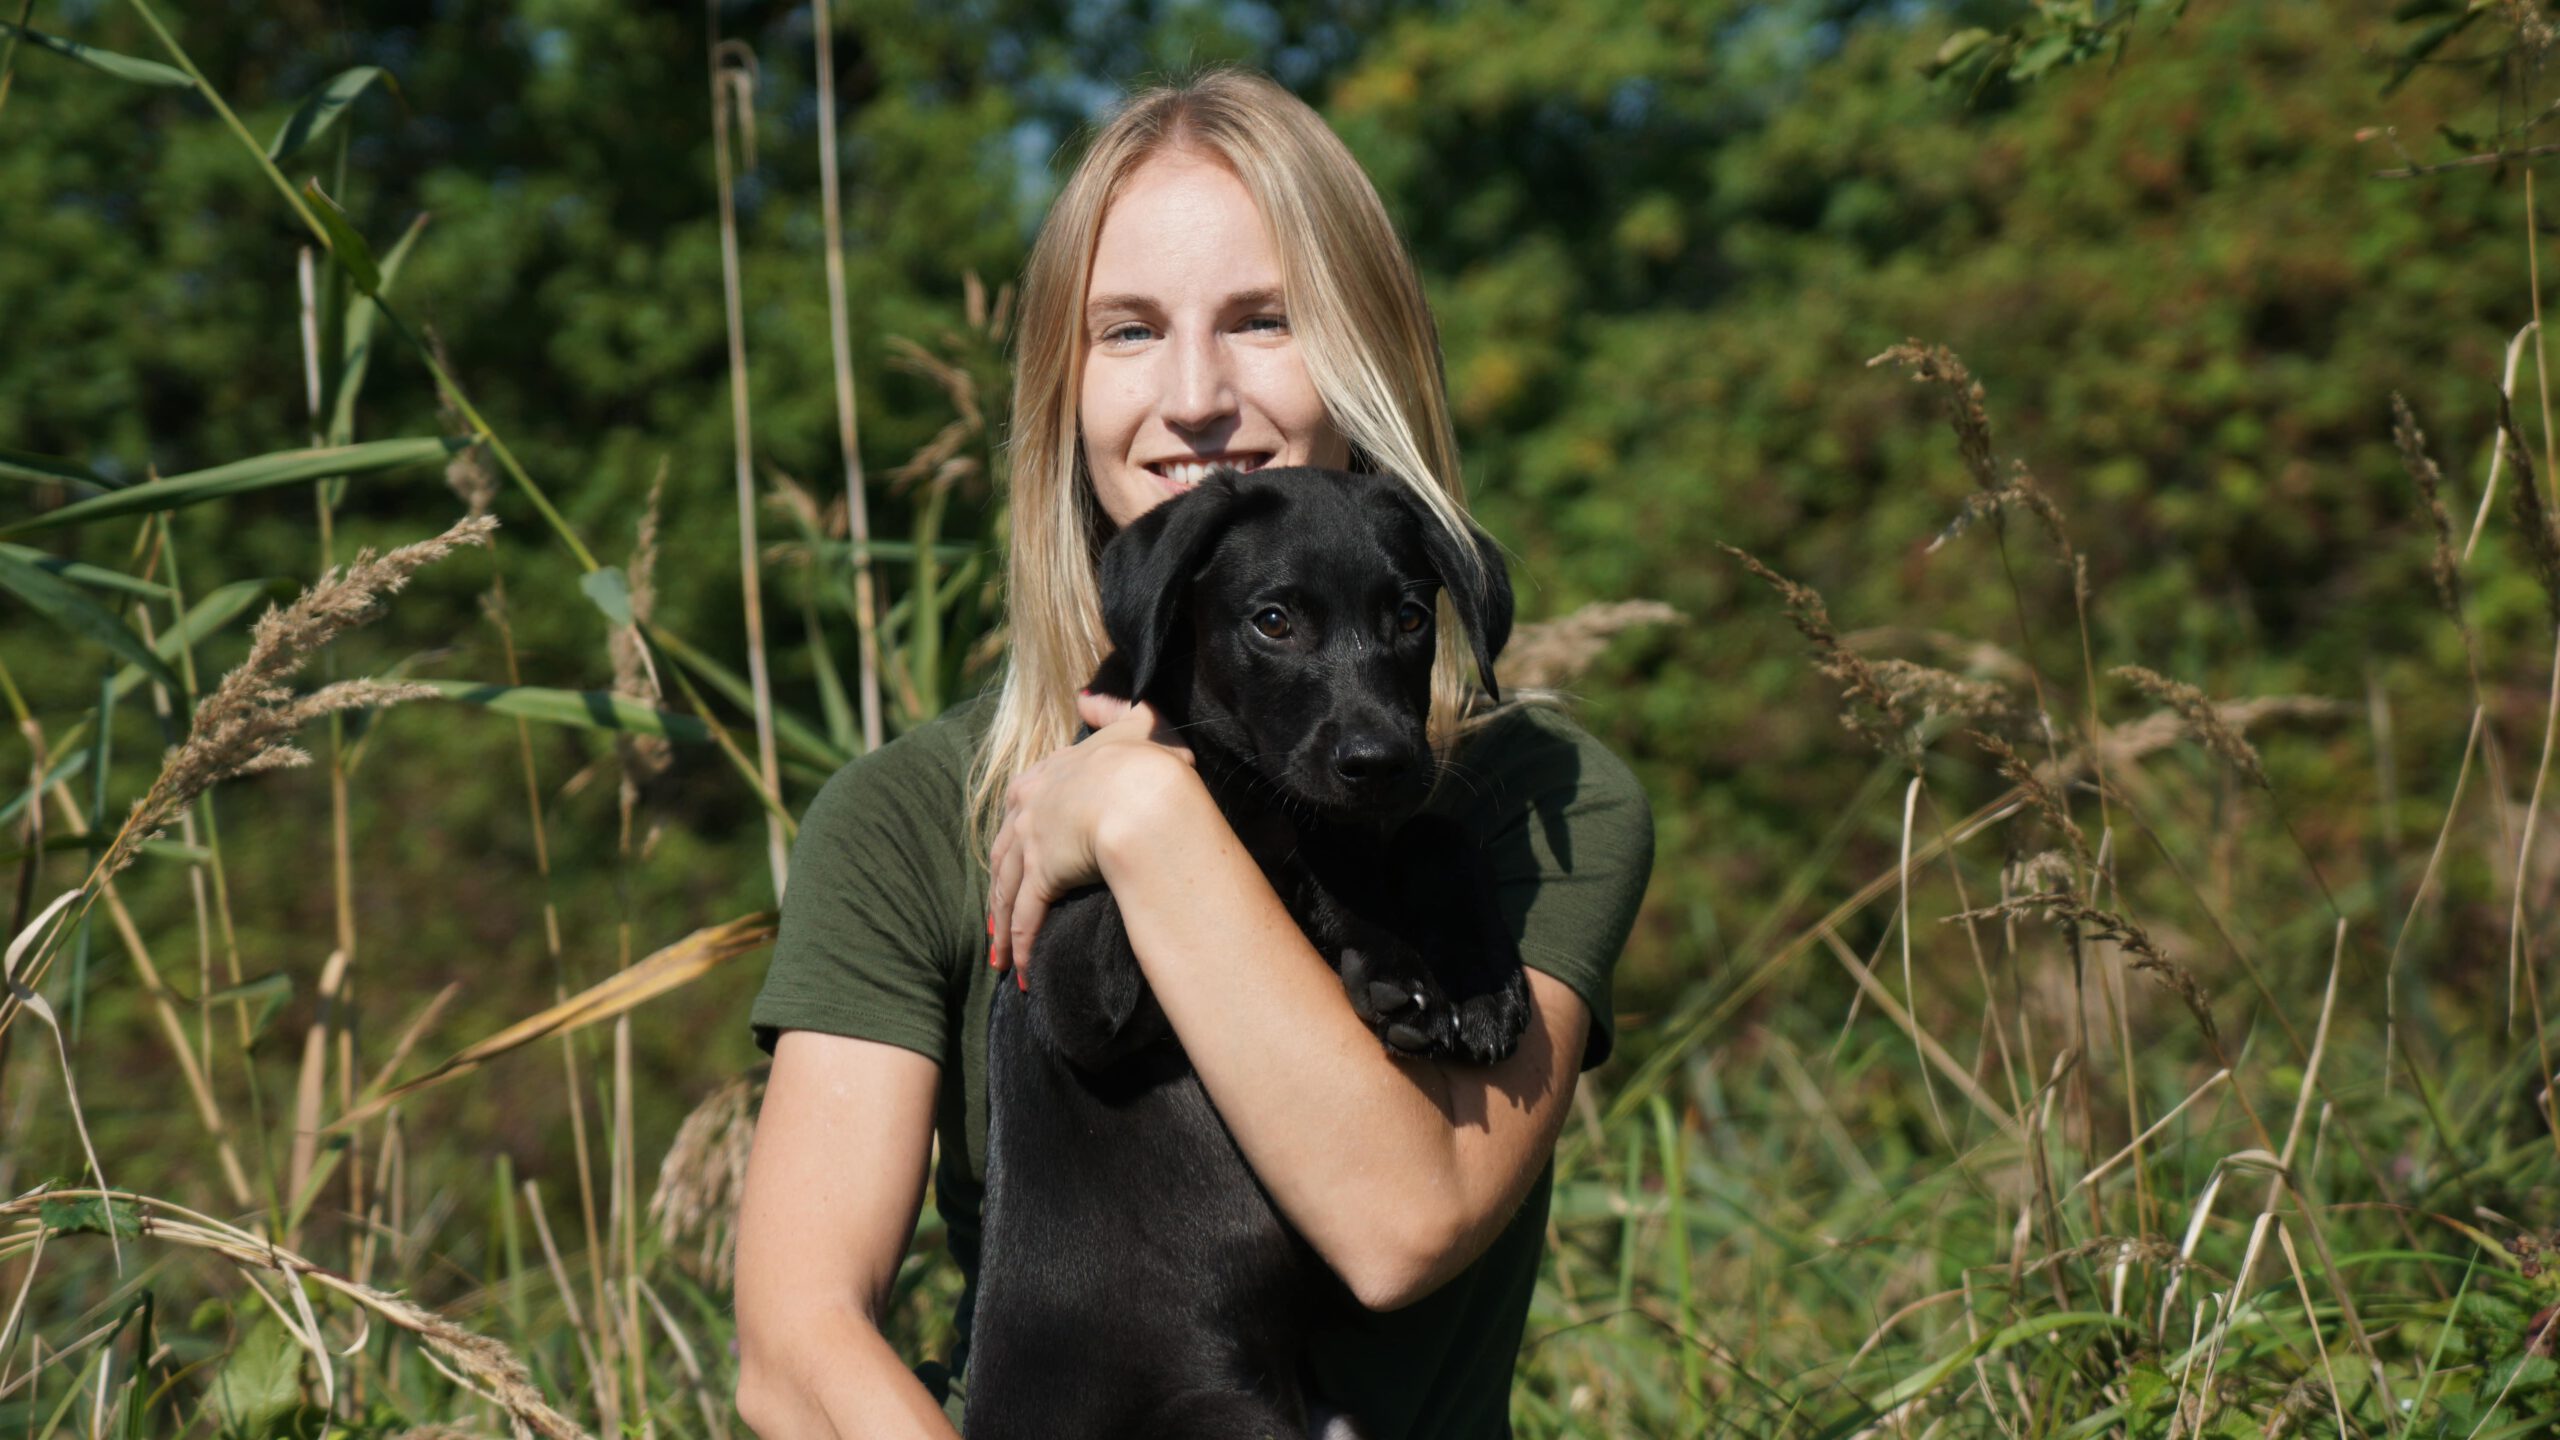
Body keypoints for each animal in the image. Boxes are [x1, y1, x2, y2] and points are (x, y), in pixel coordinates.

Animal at [962, 466, 1525, 1424]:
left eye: (1412, 617)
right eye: (1272, 621)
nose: (1378, 761)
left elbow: (1431, 834)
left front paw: (1478, 983)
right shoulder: (1072, 977)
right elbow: (1235, 810)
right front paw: (1390, 962)